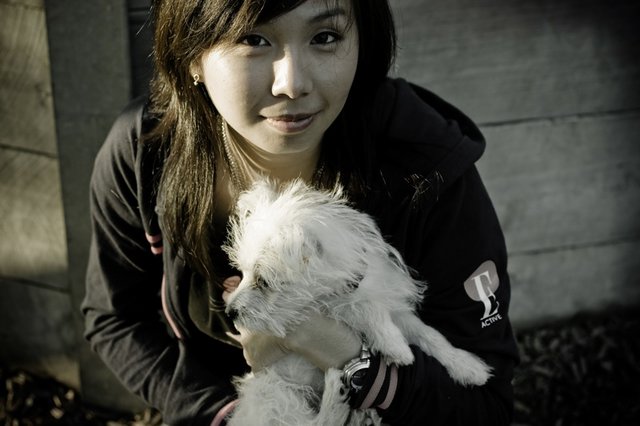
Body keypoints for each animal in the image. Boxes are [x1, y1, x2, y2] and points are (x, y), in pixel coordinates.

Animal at [222, 179, 492, 425]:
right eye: (243, 274)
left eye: (263, 281)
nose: (230, 311)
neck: (346, 285)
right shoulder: (325, 307)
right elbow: (366, 309)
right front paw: (395, 345)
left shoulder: (392, 307)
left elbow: (429, 335)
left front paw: (466, 366)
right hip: (272, 391)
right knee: (312, 423)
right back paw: (335, 395)